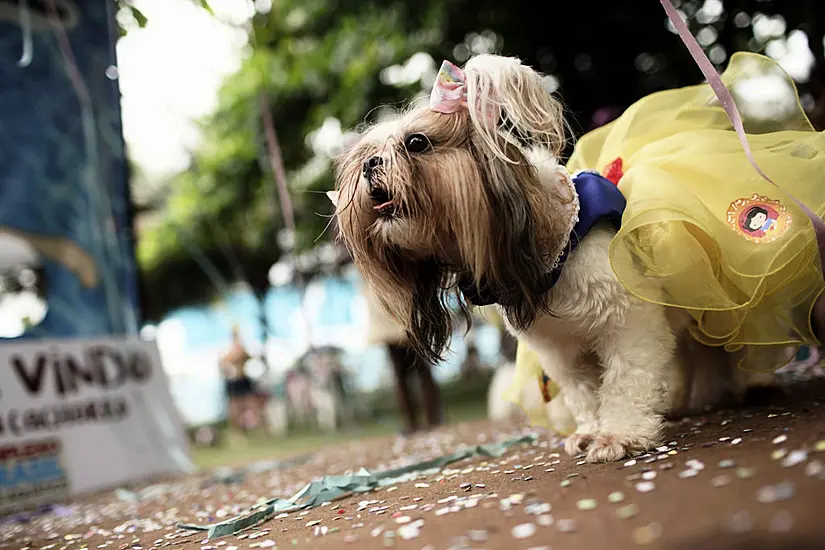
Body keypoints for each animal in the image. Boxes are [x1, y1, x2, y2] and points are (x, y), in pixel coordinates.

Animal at [328, 56, 780, 464]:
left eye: (417, 143)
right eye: (366, 154)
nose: (370, 165)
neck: (556, 244)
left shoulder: (629, 323)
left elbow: (625, 381)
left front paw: (619, 435)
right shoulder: (561, 352)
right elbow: (584, 393)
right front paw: (591, 430)